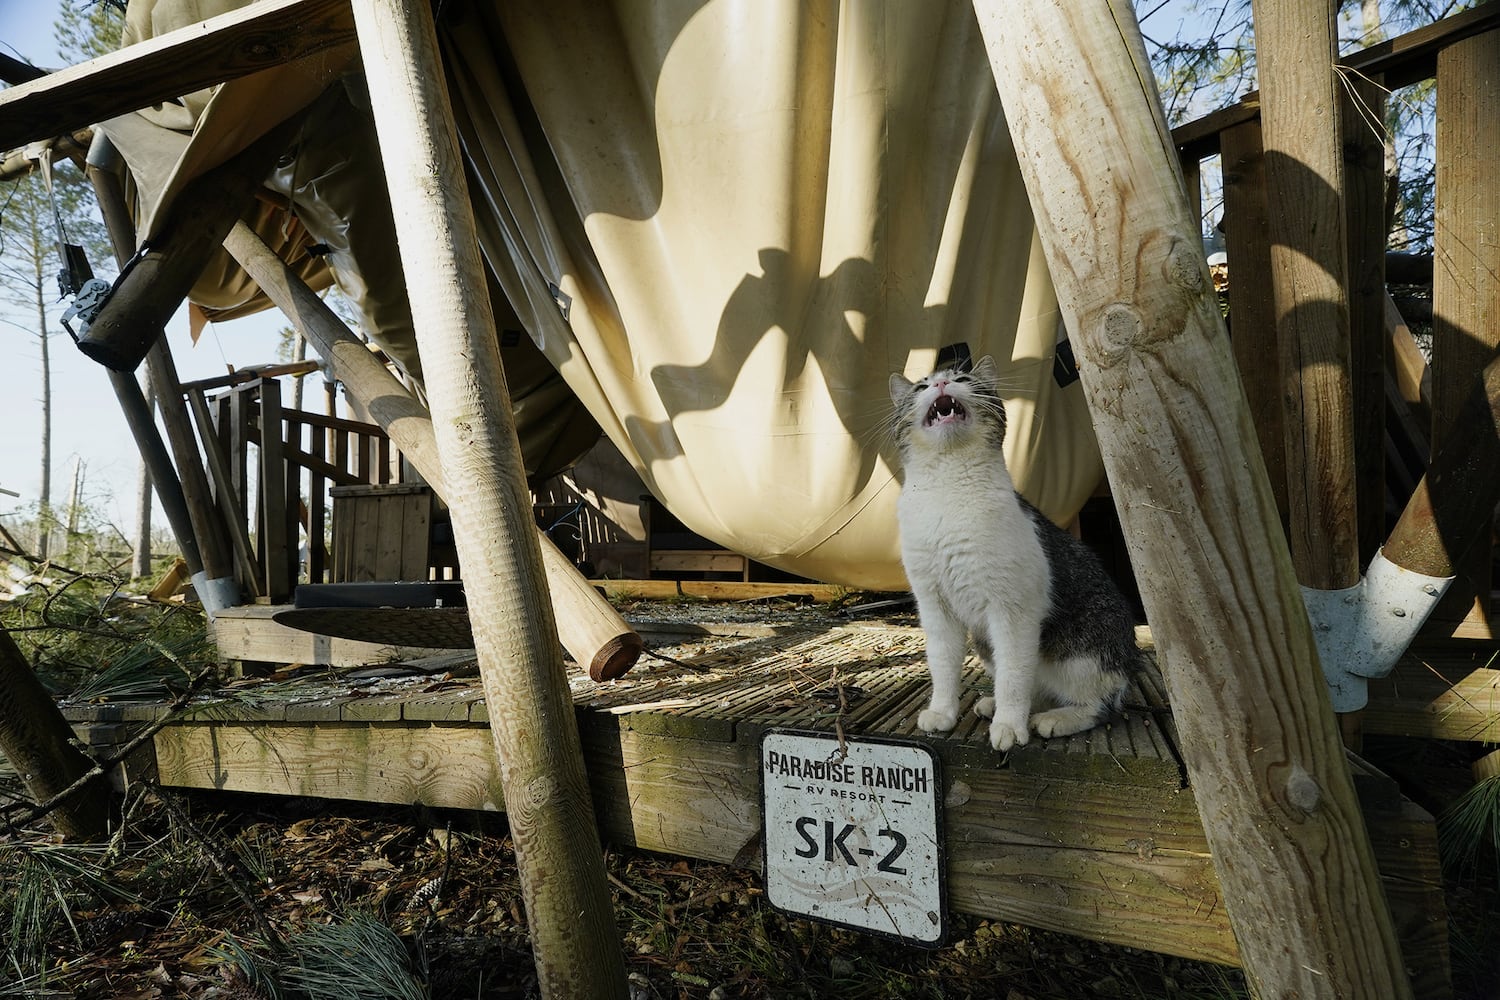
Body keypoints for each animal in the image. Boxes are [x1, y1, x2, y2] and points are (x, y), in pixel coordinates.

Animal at [888, 358, 1134, 749]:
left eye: (963, 378)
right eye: (921, 387)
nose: (941, 383)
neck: (947, 489)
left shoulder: (1012, 610)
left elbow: (1013, 676)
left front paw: (1008, 726)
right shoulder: (935, 606)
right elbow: (943, 664)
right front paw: (942, 712)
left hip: (1083, 656)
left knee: (1100, 705)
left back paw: (1053, 719)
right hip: (986, 644)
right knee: (1036, 688)